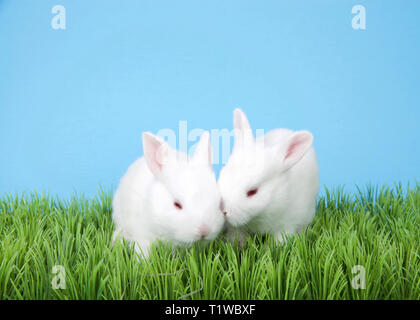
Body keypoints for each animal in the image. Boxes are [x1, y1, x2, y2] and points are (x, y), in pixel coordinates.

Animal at [110, 130, 223, 258]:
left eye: (219, 203)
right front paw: (142, 263)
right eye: (177, 204)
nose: (204, 231)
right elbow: (143, 252)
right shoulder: (143, 235)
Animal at [218, 109, 320, 246]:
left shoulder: (286, 226)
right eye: (223, 174)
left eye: (252, 192)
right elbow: (237, 236)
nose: (222, 209)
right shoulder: (236, 229)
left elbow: (278, 242)